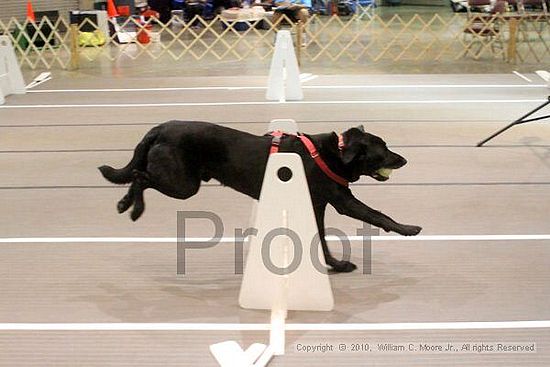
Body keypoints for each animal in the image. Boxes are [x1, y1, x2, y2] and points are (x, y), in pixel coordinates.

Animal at [100, 121, 422, 274]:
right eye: (384, 149)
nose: (404, 159)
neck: (335, 154)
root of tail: (159, 129)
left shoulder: (317, 205)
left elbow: (322, 240)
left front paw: (337, 265)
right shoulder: (343, 201)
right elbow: (378, 214)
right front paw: (408, 228)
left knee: (138, 174)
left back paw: (126, 204)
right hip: (183, 184)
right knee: (140, 176)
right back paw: (132, 207)